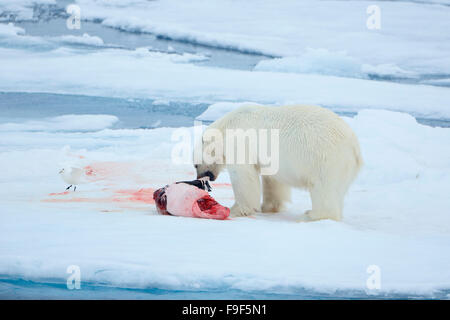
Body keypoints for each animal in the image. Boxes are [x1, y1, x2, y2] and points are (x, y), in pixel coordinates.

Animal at [193, 104, 362, 221]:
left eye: (195, 165)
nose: (199, 177)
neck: (226, 127)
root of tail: (354, 146)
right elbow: (273, 180)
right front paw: (268, 207)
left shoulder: (240, 143)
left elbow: (244, 178)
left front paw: (235, 209)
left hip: (324, 158)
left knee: (323, 188)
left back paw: (310, 215)